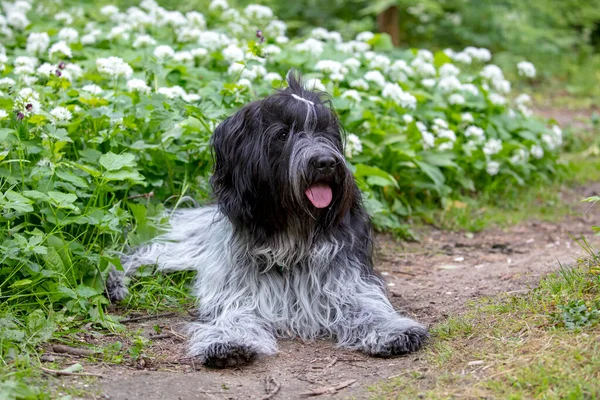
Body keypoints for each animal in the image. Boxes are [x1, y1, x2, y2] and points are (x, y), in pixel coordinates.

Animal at [106, 72, 426, 368]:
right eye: (283, 135)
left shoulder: (345, 280)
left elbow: (367, 304)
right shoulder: (236, 285)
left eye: (325, 132)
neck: (294, 233)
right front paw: (229, 341)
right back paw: (115, 282)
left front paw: (392, 329)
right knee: (142, 251)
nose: (326, 162)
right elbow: (235, 311)